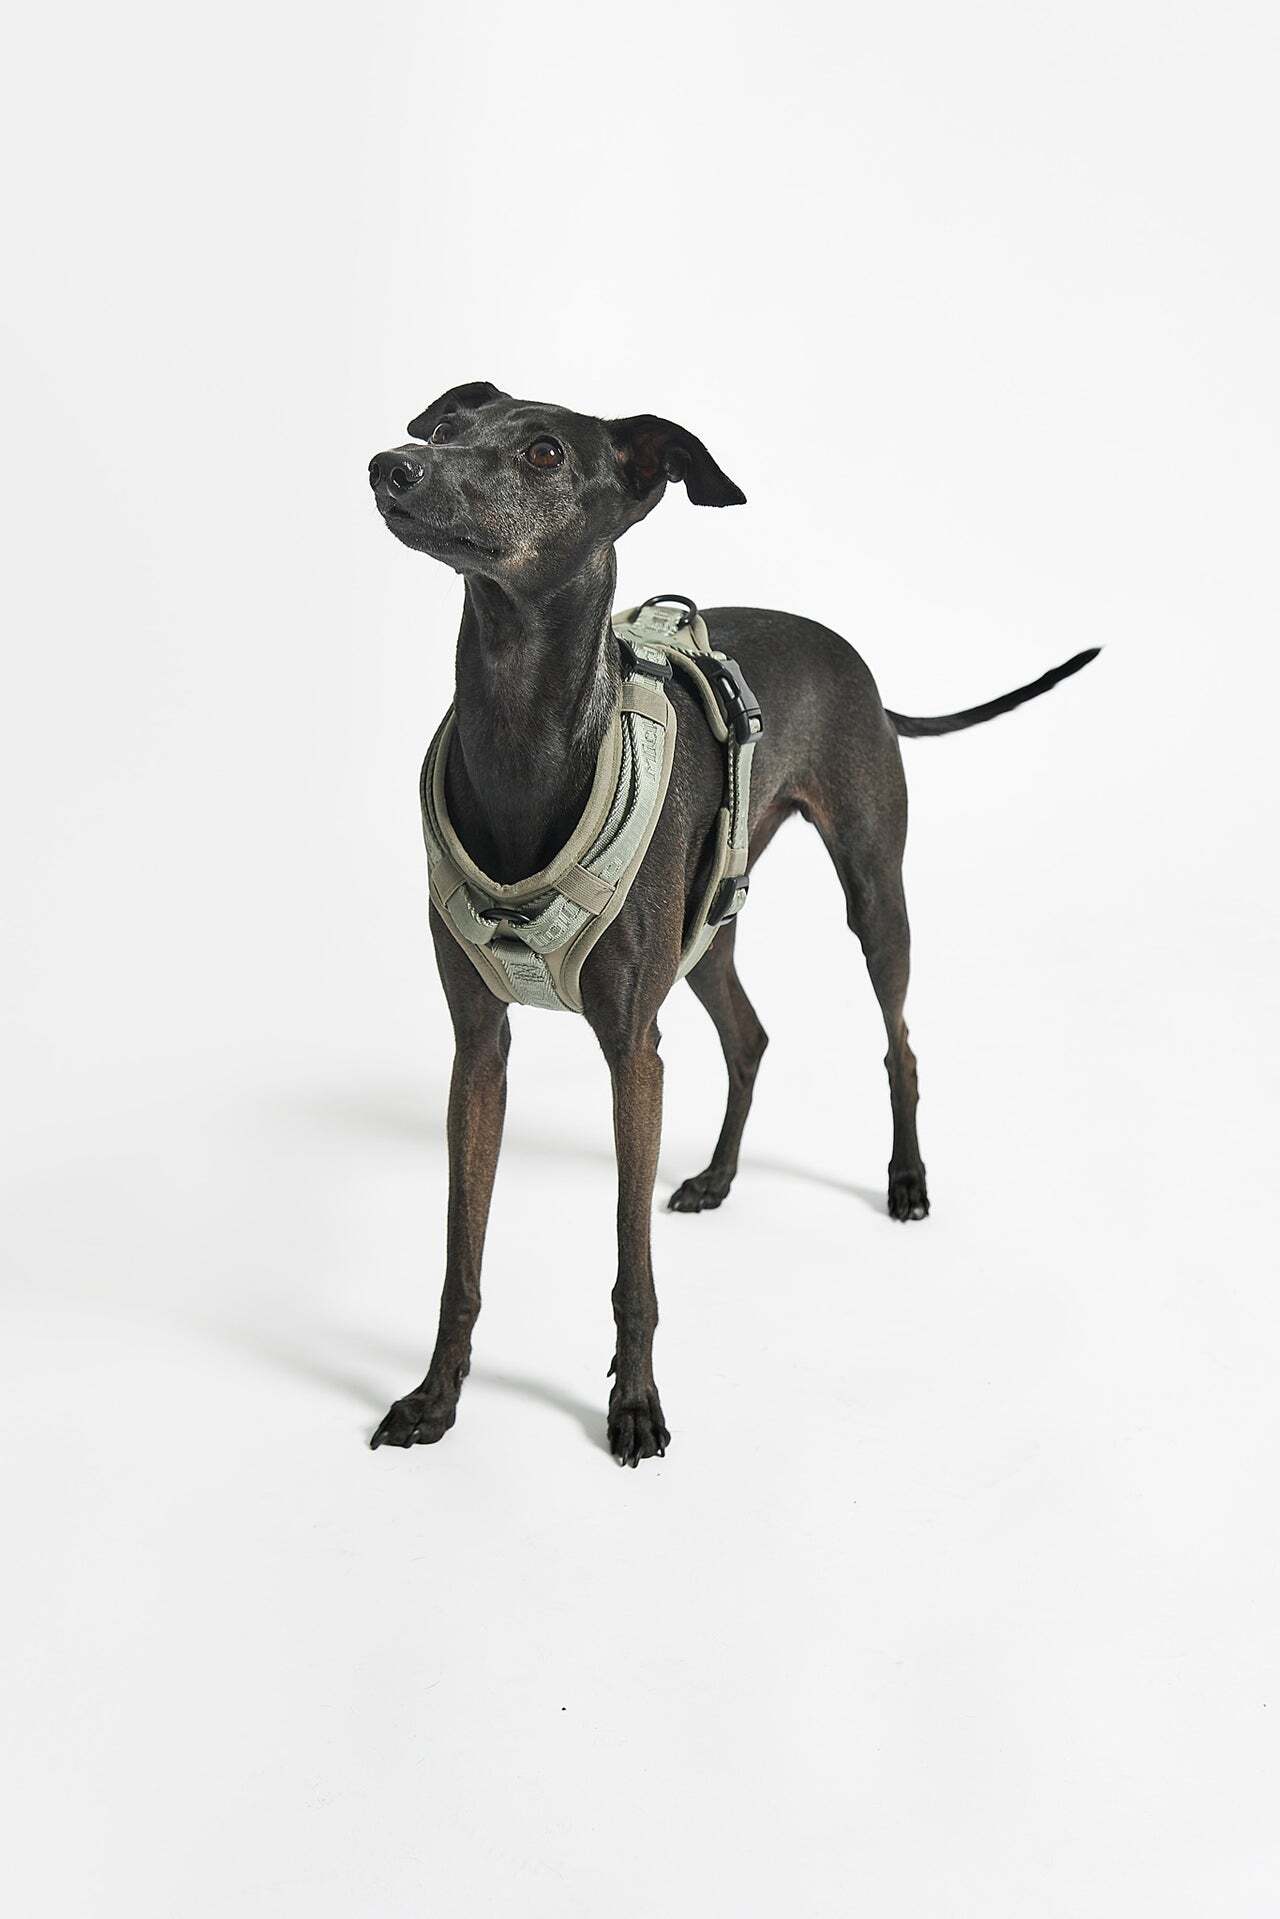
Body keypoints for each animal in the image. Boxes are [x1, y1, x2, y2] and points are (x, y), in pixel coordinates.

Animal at [366, 381, 1097, 1464]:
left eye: (544, 452)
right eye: (446, 429)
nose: (392, 466)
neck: (526, 736)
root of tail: (861, 666)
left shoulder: (631, 1047)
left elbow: (631, 1258)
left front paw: (634, 1404)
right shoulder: (478, 1043)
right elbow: (463, 1248)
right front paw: (435, 1396)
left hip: (872, 895)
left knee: (900, 1041)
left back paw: (906, 1181)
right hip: (704, 932)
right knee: (749, 1036)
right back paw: (714, 1177)